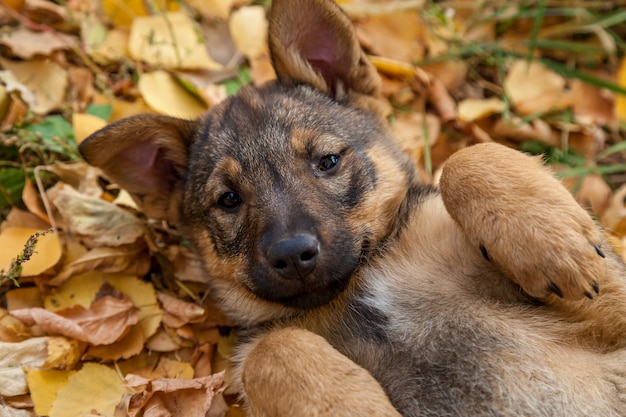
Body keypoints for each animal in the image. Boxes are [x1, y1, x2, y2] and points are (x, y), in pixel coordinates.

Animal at [80, 1, 624, 414]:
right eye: (228, 199)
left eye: (328, 161)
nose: (292, 255)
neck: (360, 284)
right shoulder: (257, 349)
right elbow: (276, 349)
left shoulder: (612, 310)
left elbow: (465, 159)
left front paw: (554, 242)